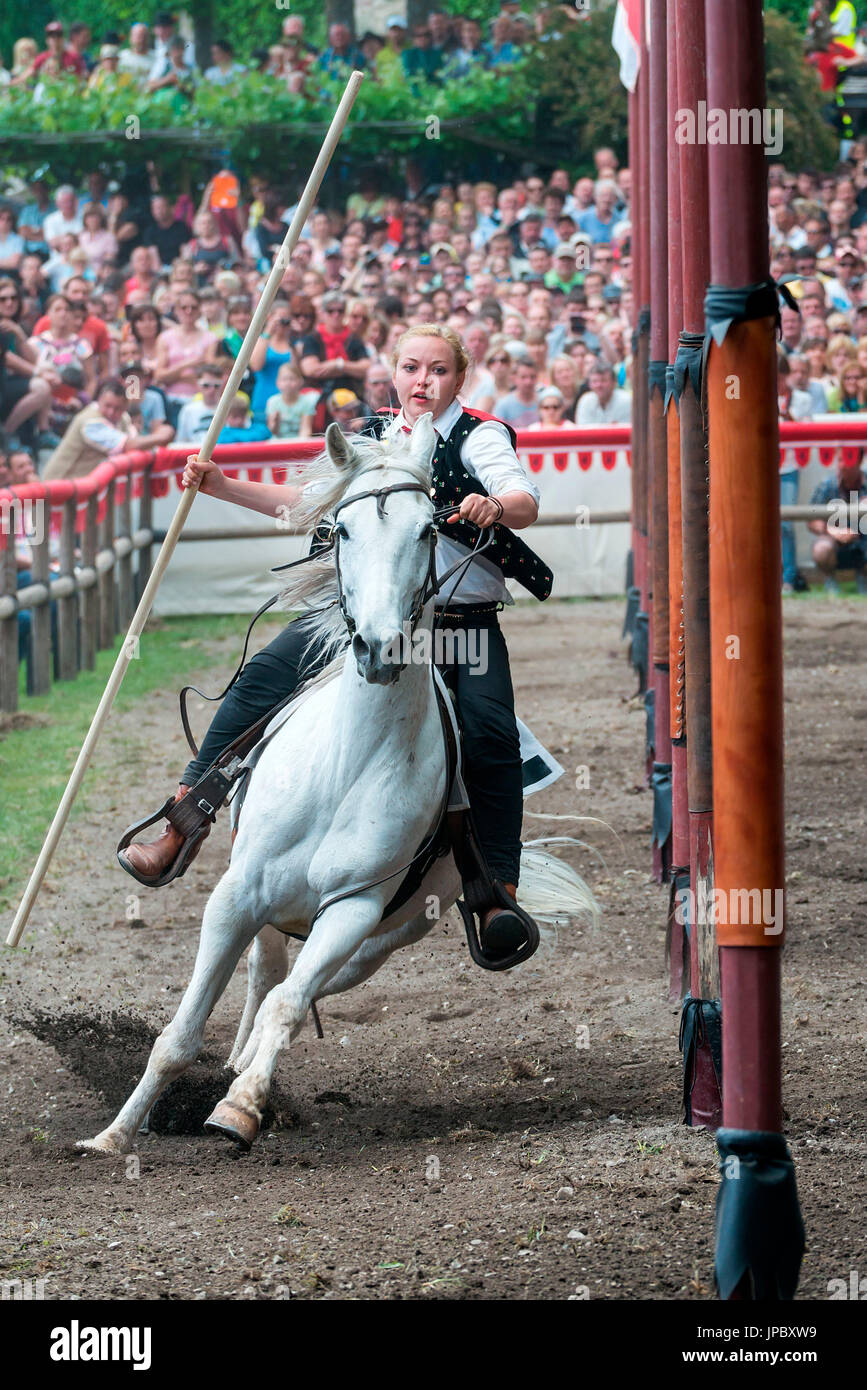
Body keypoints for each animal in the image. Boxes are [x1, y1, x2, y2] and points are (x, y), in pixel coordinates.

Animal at [77, 417, 600, 1156]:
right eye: (342, 531)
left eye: (428, 529)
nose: (379, 648)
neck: (348, 762)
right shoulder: (236, 894)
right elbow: (179, 1035)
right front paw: (114, 1136)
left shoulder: (353, 908)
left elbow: (290, 1006)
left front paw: (238, 1110)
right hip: (271, 909)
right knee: (263, 974)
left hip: (385, 935)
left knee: (296, 990)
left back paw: (245, 1080)